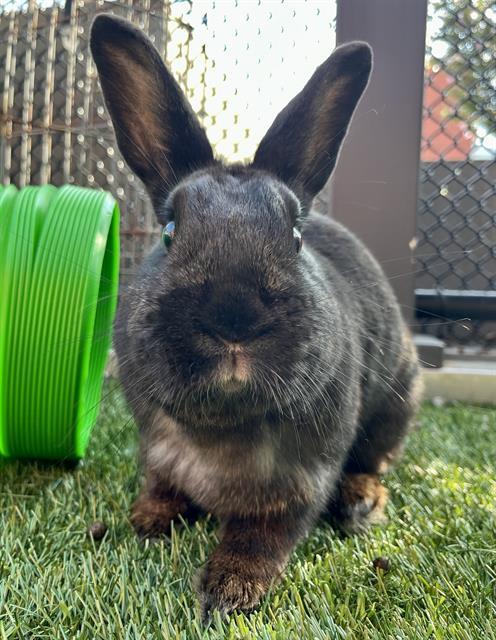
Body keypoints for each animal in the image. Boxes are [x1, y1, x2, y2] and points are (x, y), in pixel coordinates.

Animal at [90, 14, 421, 618]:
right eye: (169, 233)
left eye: (294, 236)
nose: (234, 319)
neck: (223, 427)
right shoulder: (157, 450)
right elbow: (161, 484)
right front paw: (146, 520)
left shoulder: (300, 482)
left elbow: (263, 532)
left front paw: (229, 588)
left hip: (399, 400)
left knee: (375, 460)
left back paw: (362, 502)